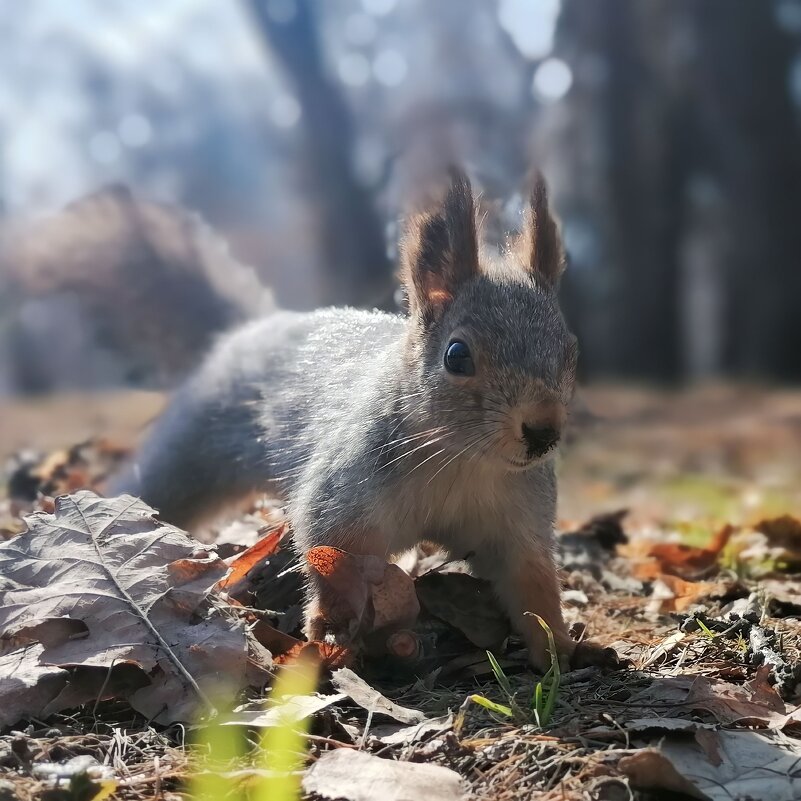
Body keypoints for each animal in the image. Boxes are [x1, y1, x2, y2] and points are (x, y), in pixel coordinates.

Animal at [108, 170, 620, 676]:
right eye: (457, 355)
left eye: (570, 351)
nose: (543, 431)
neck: (460, 460)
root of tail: (256, 327)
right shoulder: (343, 502)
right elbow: (332, 562)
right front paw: (330, 632)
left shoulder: (518, 524)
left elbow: (533, 586)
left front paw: (561, 649)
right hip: (190, 449)